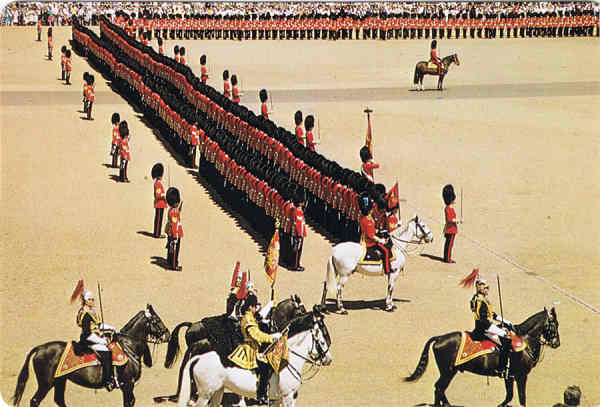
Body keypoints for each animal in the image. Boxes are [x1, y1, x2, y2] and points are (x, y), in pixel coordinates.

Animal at [176, 308, 332, 407]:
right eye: (323, 341)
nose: (329, 360)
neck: (287, 361)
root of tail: (199, 358)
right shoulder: (288, 396)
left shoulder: (278, 399)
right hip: (205, 394)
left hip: (217, 391)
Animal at [406, 310, 560, 407]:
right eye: (554, 324)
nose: (557, 343)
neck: (525, 341)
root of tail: (439, 338)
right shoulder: (520, 376)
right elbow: (521, 398)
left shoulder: (509, 376)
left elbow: (509, 395)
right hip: (448, 371)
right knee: (439, 388)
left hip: (449, 372)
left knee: (440, 388)